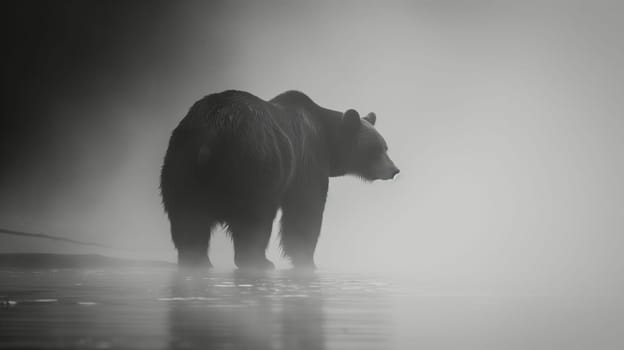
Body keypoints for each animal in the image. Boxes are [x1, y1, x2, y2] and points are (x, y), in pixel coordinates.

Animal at [158, 91, 398, 270]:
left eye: (386, 147)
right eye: (377, 148)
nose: (394, 170)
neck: (329, 143)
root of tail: (211, 137)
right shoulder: (307, 161)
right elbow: (305, 210)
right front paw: (305, 259)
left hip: (181, 164)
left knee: (187, 218)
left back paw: (197, 260)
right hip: (254, 165)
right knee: (254, 219)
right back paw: (257, 261)